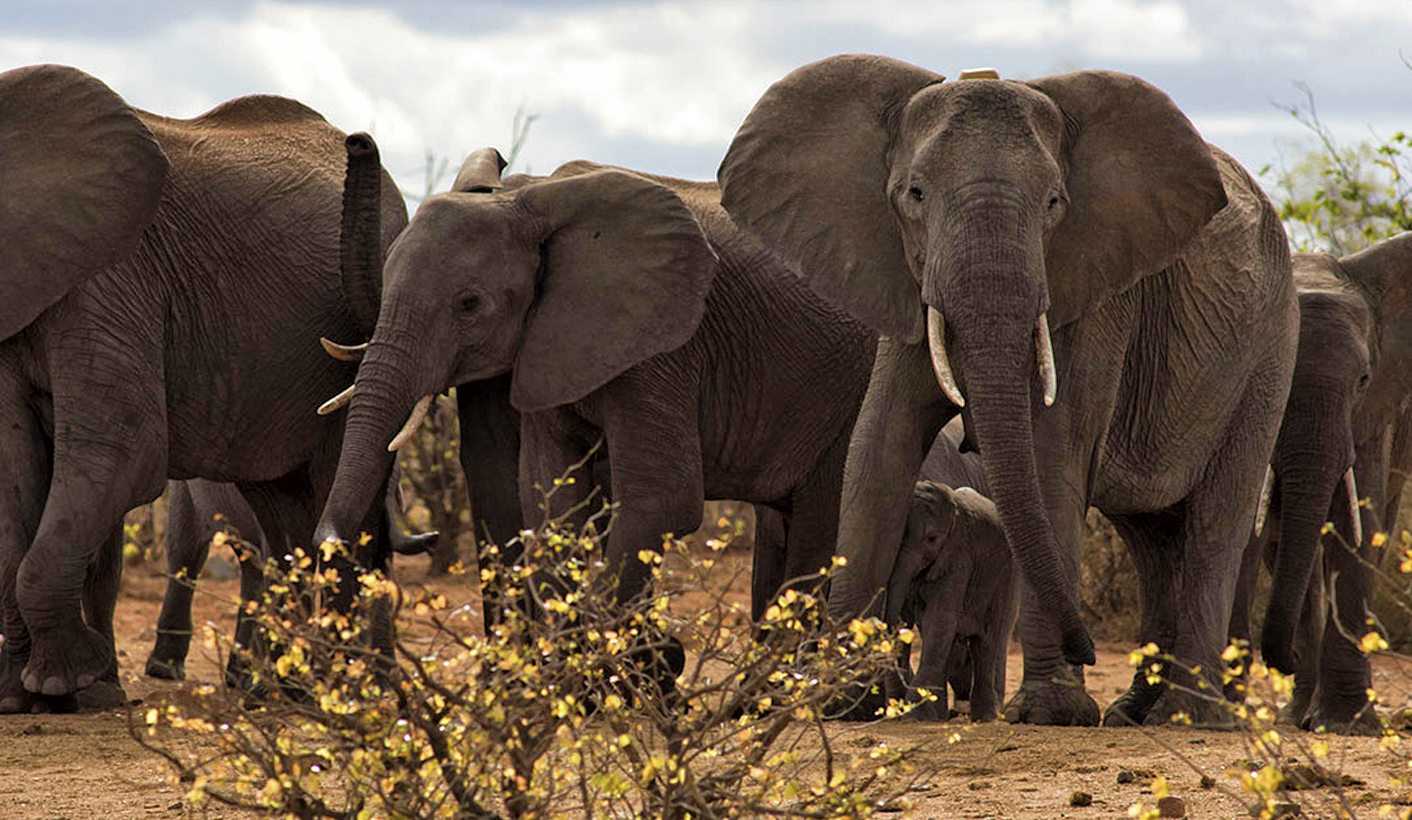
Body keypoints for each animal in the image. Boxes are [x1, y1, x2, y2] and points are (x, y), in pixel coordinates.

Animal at [0, 64, 407, 710]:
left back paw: (333, 695)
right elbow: (12, 469)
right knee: (284, 512)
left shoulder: (115, 276)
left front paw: (68, 684)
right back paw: (292, 692)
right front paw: (24, 698)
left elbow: (124, 451)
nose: (360, 142)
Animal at [146, 472, 439, 682]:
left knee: (250, 570)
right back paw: (166, 671)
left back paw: (237, 677)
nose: (433, 538)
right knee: (186, 551)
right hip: (185, 490)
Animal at [309, 137, 880, 632]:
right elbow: (548, 495)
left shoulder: (666, 344)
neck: (527, 198)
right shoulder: (545, 343)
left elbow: (662, 500)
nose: (357, 140)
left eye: (469, 304)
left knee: (818, 529)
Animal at [886, 480, 1015, 722]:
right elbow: (914, 620)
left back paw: (984, 717)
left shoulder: (957, 557)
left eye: (932, 539)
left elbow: (939, 619)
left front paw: (916, 716)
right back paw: (942, 715)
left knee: (986, 643)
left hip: (1002, 577)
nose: (896, 711)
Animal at [1229, 232, 1412, 734]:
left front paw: (1345, 725)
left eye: (1363, 379)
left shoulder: (1371, 416)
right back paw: (1295, 716)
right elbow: (1245, 534)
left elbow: (1358, 530)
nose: (1283, 659)